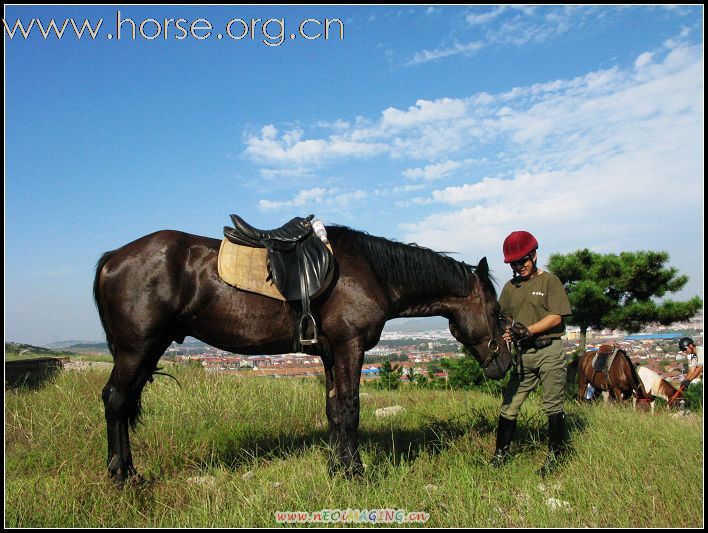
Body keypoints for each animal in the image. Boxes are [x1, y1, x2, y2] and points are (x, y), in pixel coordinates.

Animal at [94, 222, 512, 484]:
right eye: (495, 311)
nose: (505, 363)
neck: (373, 272)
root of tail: (113, 257)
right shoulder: (349, 346)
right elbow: (350, 409)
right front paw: (355, 473)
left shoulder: (329, 352)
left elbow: (334, 410)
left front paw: (336, 469)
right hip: (137, 348)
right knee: (115, 399)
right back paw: (122, 476)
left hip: (149, 349)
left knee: (124, 401)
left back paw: (129, 470)